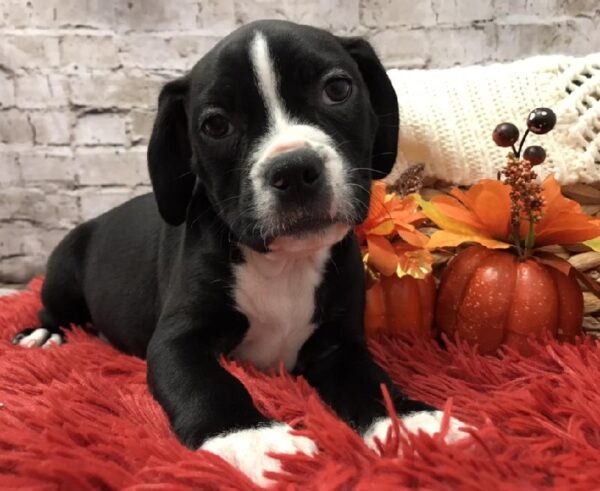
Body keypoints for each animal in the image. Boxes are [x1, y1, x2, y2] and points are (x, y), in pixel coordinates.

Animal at [11, 21, 466, 486]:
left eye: (337, 89)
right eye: (215, 125)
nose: (294, 170)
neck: (284, 262)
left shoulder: (339, 343)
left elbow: (371, 380)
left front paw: (411, 421)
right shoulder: (177, 340)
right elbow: (208, 383)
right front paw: (252, 437)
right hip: (63, 273)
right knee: (51, 307)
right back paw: (43, 333)